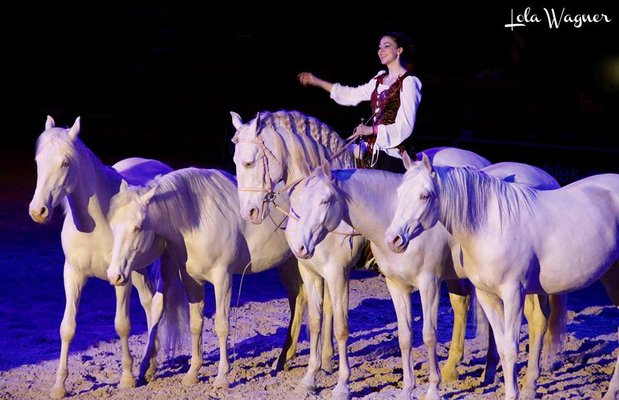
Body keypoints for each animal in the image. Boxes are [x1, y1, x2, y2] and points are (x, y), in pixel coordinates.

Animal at [28, 115, 173, 396]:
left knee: (157, 307)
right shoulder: (73, 274)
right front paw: (59, 386)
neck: (98, 222)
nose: (38, 211)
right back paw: (149, 366)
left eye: (65, 163)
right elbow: (67, 328)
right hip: (139, 271)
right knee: (149, 304)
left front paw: (126, 379)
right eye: (38, 161)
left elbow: (122, 324)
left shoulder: (120, 278)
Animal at [106, 167, 312, 390]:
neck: (197, 218)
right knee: (298, 301)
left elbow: (222, 325)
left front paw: (222, 376)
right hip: (289, 263)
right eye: (113, 226)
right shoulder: (191, 281)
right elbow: (196, 324)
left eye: (137, 228)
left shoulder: (223, 278)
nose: (114, 275)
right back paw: (284, 359)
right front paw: (192, 373)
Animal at [230, 109, 492, 400]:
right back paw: (454, 366)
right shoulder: (310, 271)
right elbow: (316, 320)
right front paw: (311, 377)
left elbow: (341, 327)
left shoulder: (337, 272)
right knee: (461, 301)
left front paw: (342, 383)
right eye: (237, 162)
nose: (249, 212)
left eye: (250, 162)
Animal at [286, 160, 568, 400]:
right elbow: (402, 336)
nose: (300, 247)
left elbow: (426, 335)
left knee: (537, 321)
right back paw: (486, 374)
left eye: (325, 200)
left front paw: (344, 386)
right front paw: (310, 380)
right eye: (298, 200)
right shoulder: (391, 284)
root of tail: (548, 179)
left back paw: (529, 384)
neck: (392, 217)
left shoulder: (425, 282)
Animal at [388, 154, 619, 400]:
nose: (393, 239)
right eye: (399, 192)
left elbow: (510, 348)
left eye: (425, 195)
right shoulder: (486, 295)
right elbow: (500, 345)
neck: (491, 226)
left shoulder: (513, 294)